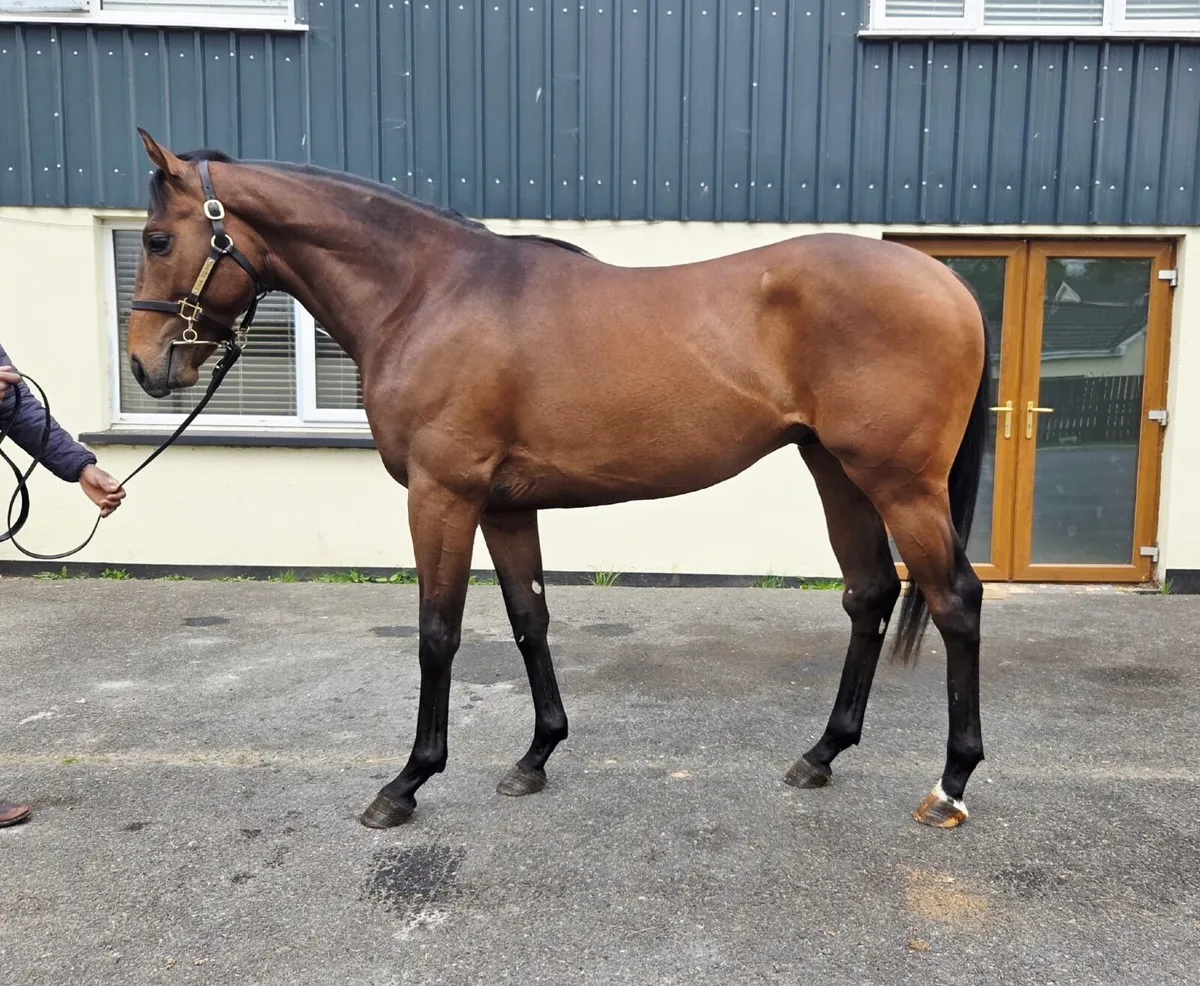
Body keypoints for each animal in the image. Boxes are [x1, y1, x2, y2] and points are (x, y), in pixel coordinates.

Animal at [126, 129, 989, 831]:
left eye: (158, 238)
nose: (143, 365)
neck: (427, 293)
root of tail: (948, 284)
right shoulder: (505, 507)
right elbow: (528, 620)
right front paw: (535, 757)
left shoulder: (442, 496)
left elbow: (438, 633)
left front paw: (407, 782)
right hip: (836, 470)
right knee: (871, 593)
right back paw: (822, 754)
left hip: (901, 483)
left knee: (954, 602)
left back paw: (949, 784)